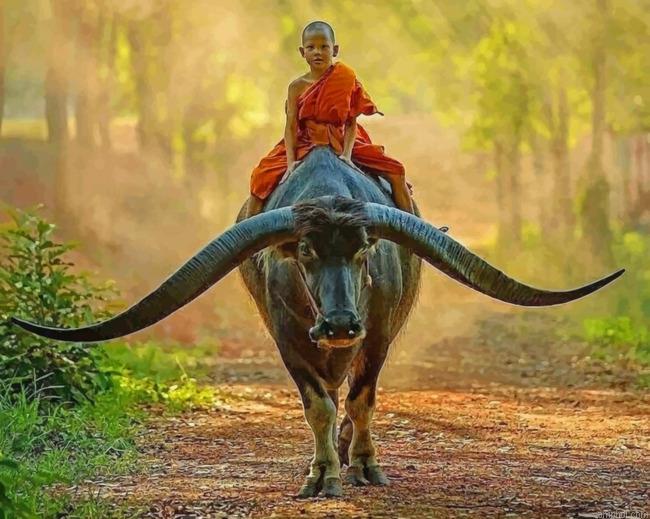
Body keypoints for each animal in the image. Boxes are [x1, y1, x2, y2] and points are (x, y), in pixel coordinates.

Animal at [11, 145, 623, 498]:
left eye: (363, 250)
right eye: (304, 251)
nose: (339, 325)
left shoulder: (378, 335)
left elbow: (361, 399)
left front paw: (364, 465)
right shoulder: (288, 339)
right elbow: (318, 406)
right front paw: (322, 473)